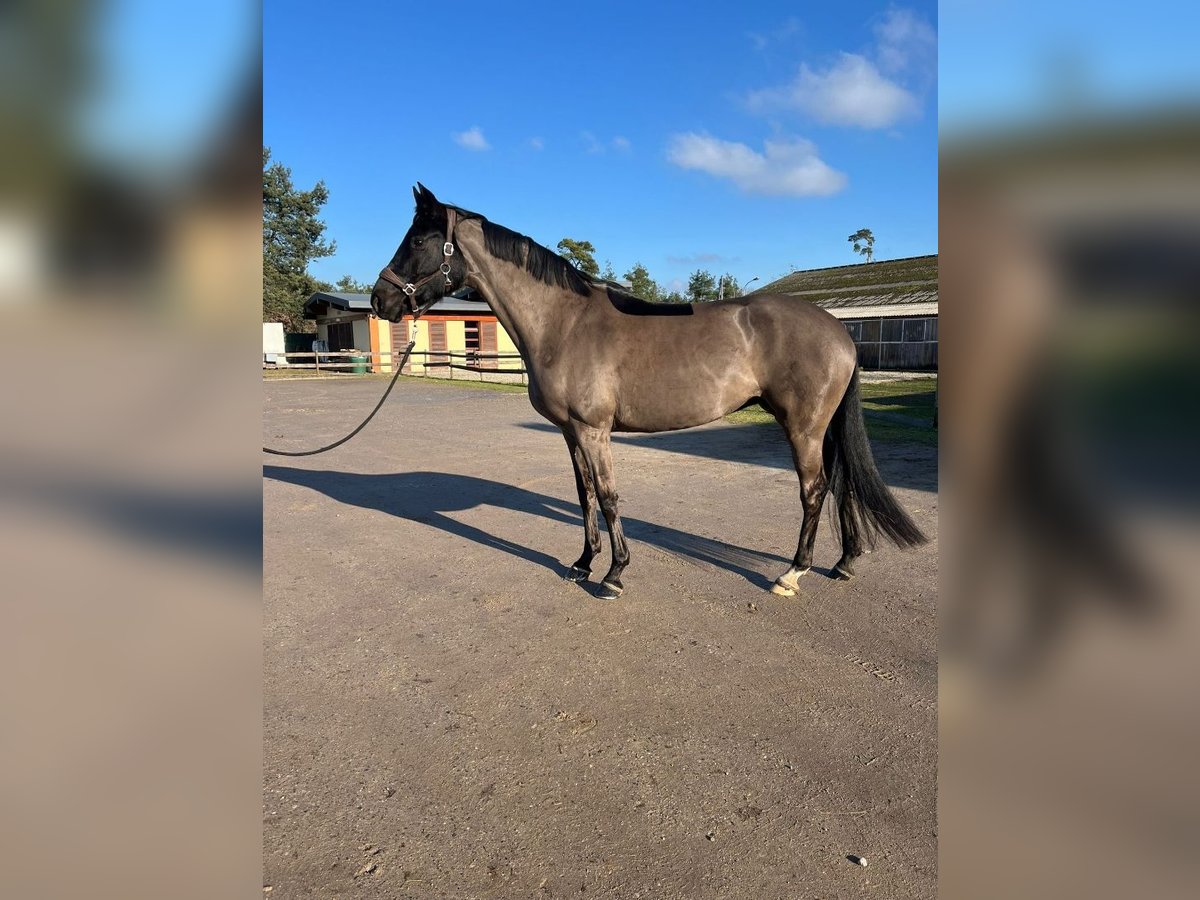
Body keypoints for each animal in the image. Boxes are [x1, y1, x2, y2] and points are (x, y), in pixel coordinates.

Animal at [374, 184, 926, 600]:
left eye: (419, 240)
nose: (381, 300)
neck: (564, 323)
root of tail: (839, 330)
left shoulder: (595, 431)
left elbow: (609, 496)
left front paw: (615, 575)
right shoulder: (571, 433)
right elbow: (584, 495)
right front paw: (583, 562)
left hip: (803, 428)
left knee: (814, 491)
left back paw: (792, 573)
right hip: (821, 428)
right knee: (841, 484)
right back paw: (844, 563)